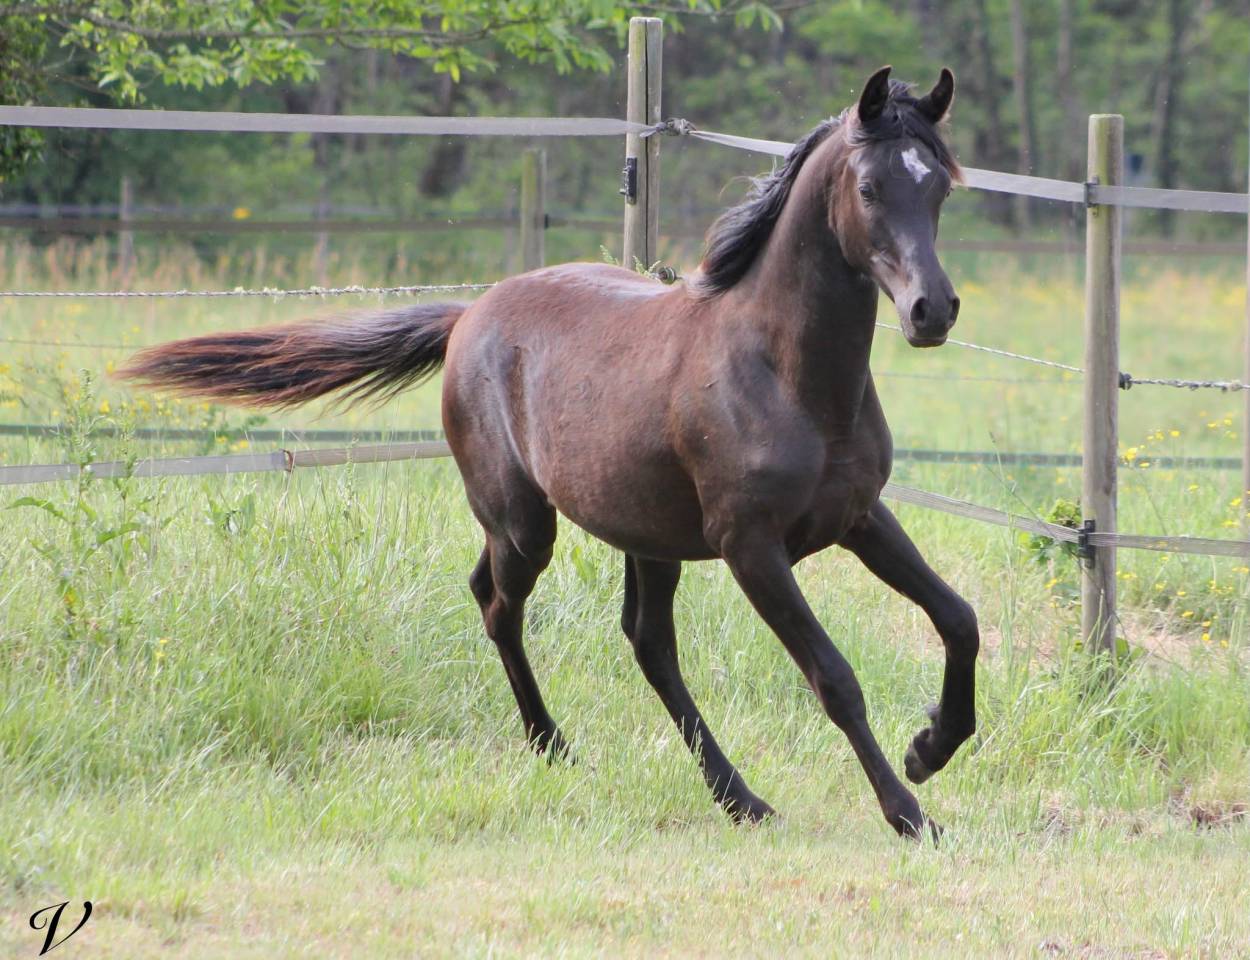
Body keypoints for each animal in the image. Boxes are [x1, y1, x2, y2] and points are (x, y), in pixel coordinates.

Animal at [117, 66, 977, 840]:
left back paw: (738, 799)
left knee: (644, 643)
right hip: (526, 523)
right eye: (868, 188)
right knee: (501, 605)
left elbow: (958, 618)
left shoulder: (858, 517)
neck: (785, 375)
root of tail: (469, 314)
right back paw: (554, 745)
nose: (931, 311)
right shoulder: (752, 548)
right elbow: (835, 678)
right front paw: (911, 812)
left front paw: (932, 745)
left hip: (646, 536)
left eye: (940, 188)